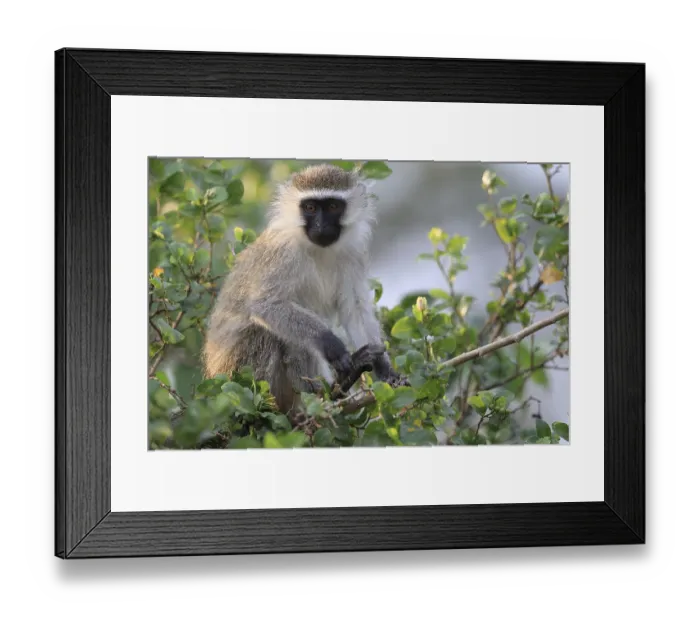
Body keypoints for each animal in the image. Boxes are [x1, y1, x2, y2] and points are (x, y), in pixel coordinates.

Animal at [202, 163, 406, 415]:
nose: (320, 225)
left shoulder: (353, 252)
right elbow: (264, 305)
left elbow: (355, 309)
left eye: (333, 206)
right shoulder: (283, 252)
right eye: (310, 207)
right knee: (271, 332)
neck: (318, 248)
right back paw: (322, 391)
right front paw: (332, 344)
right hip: (239, 374)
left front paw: (385, 370)